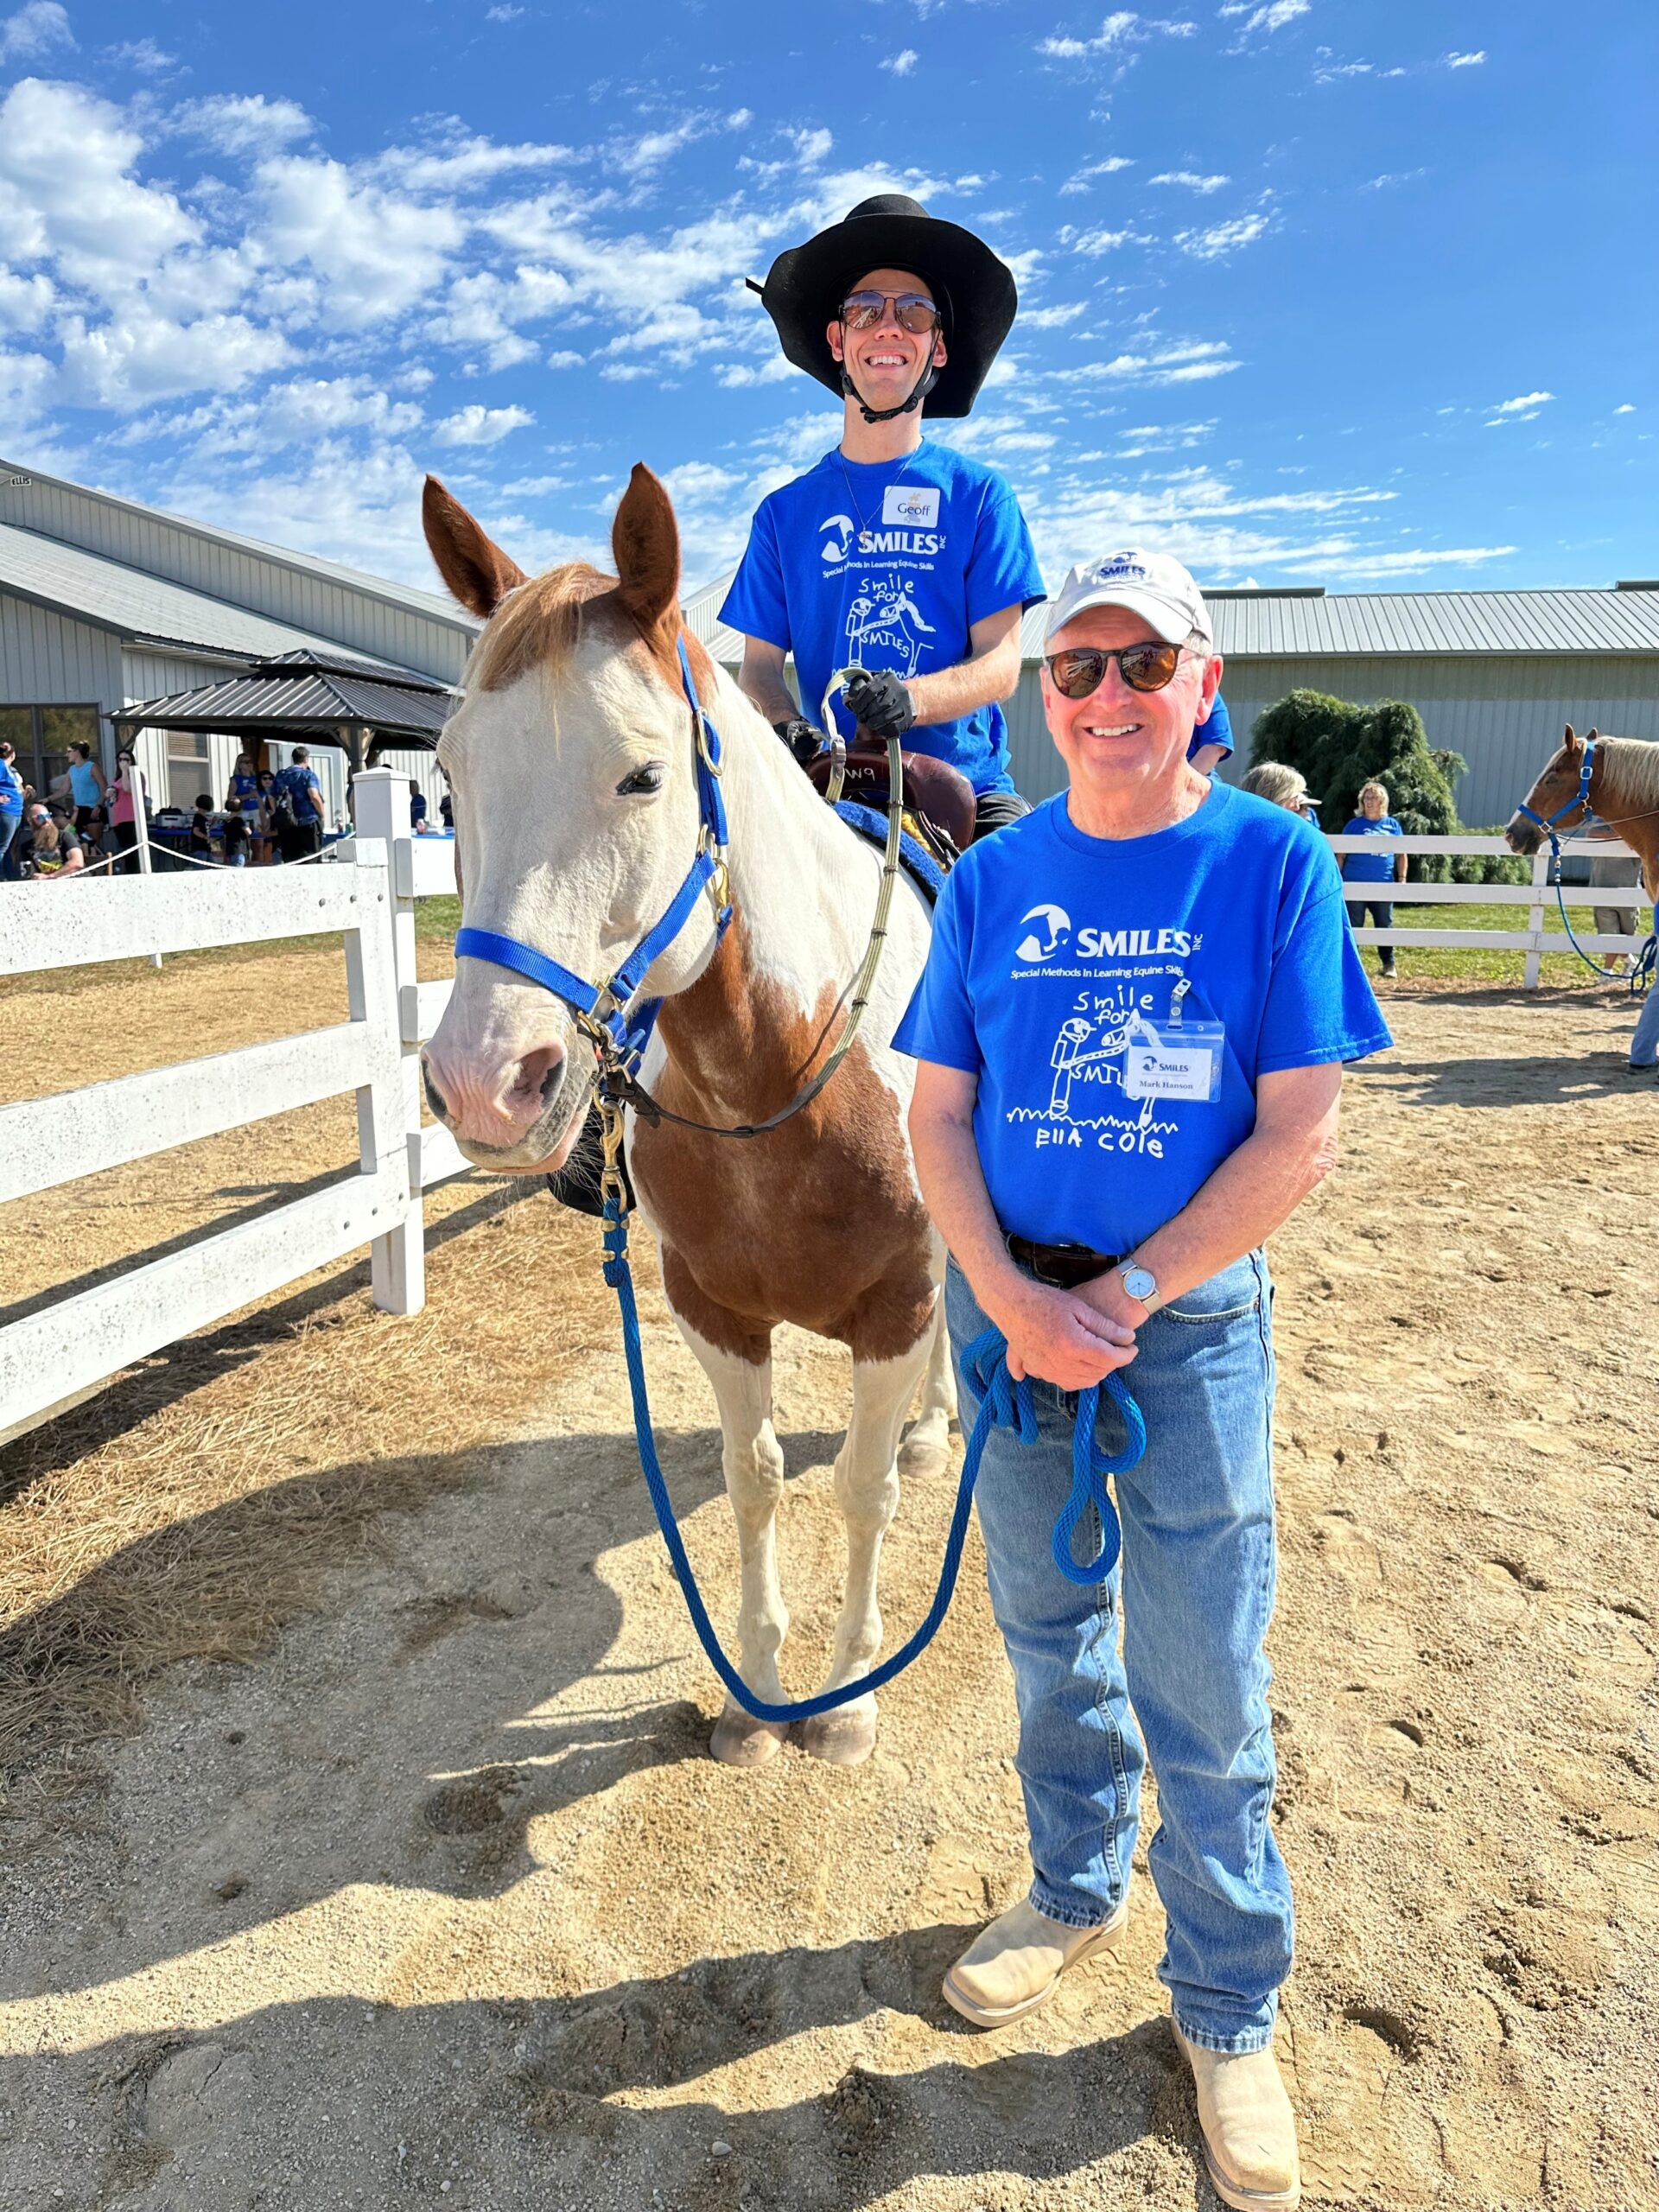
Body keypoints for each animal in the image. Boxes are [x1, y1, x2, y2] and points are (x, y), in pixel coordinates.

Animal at [418, 463, 957, 1770]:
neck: (777, 1084)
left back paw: (937, 1429)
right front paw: (758, 1698)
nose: (482, 1081)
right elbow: (754, 1479)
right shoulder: (712, 1309)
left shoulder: (895, 1305)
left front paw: (846, 1701)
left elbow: (861, 1487)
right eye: (451, 775)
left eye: (643, 776)